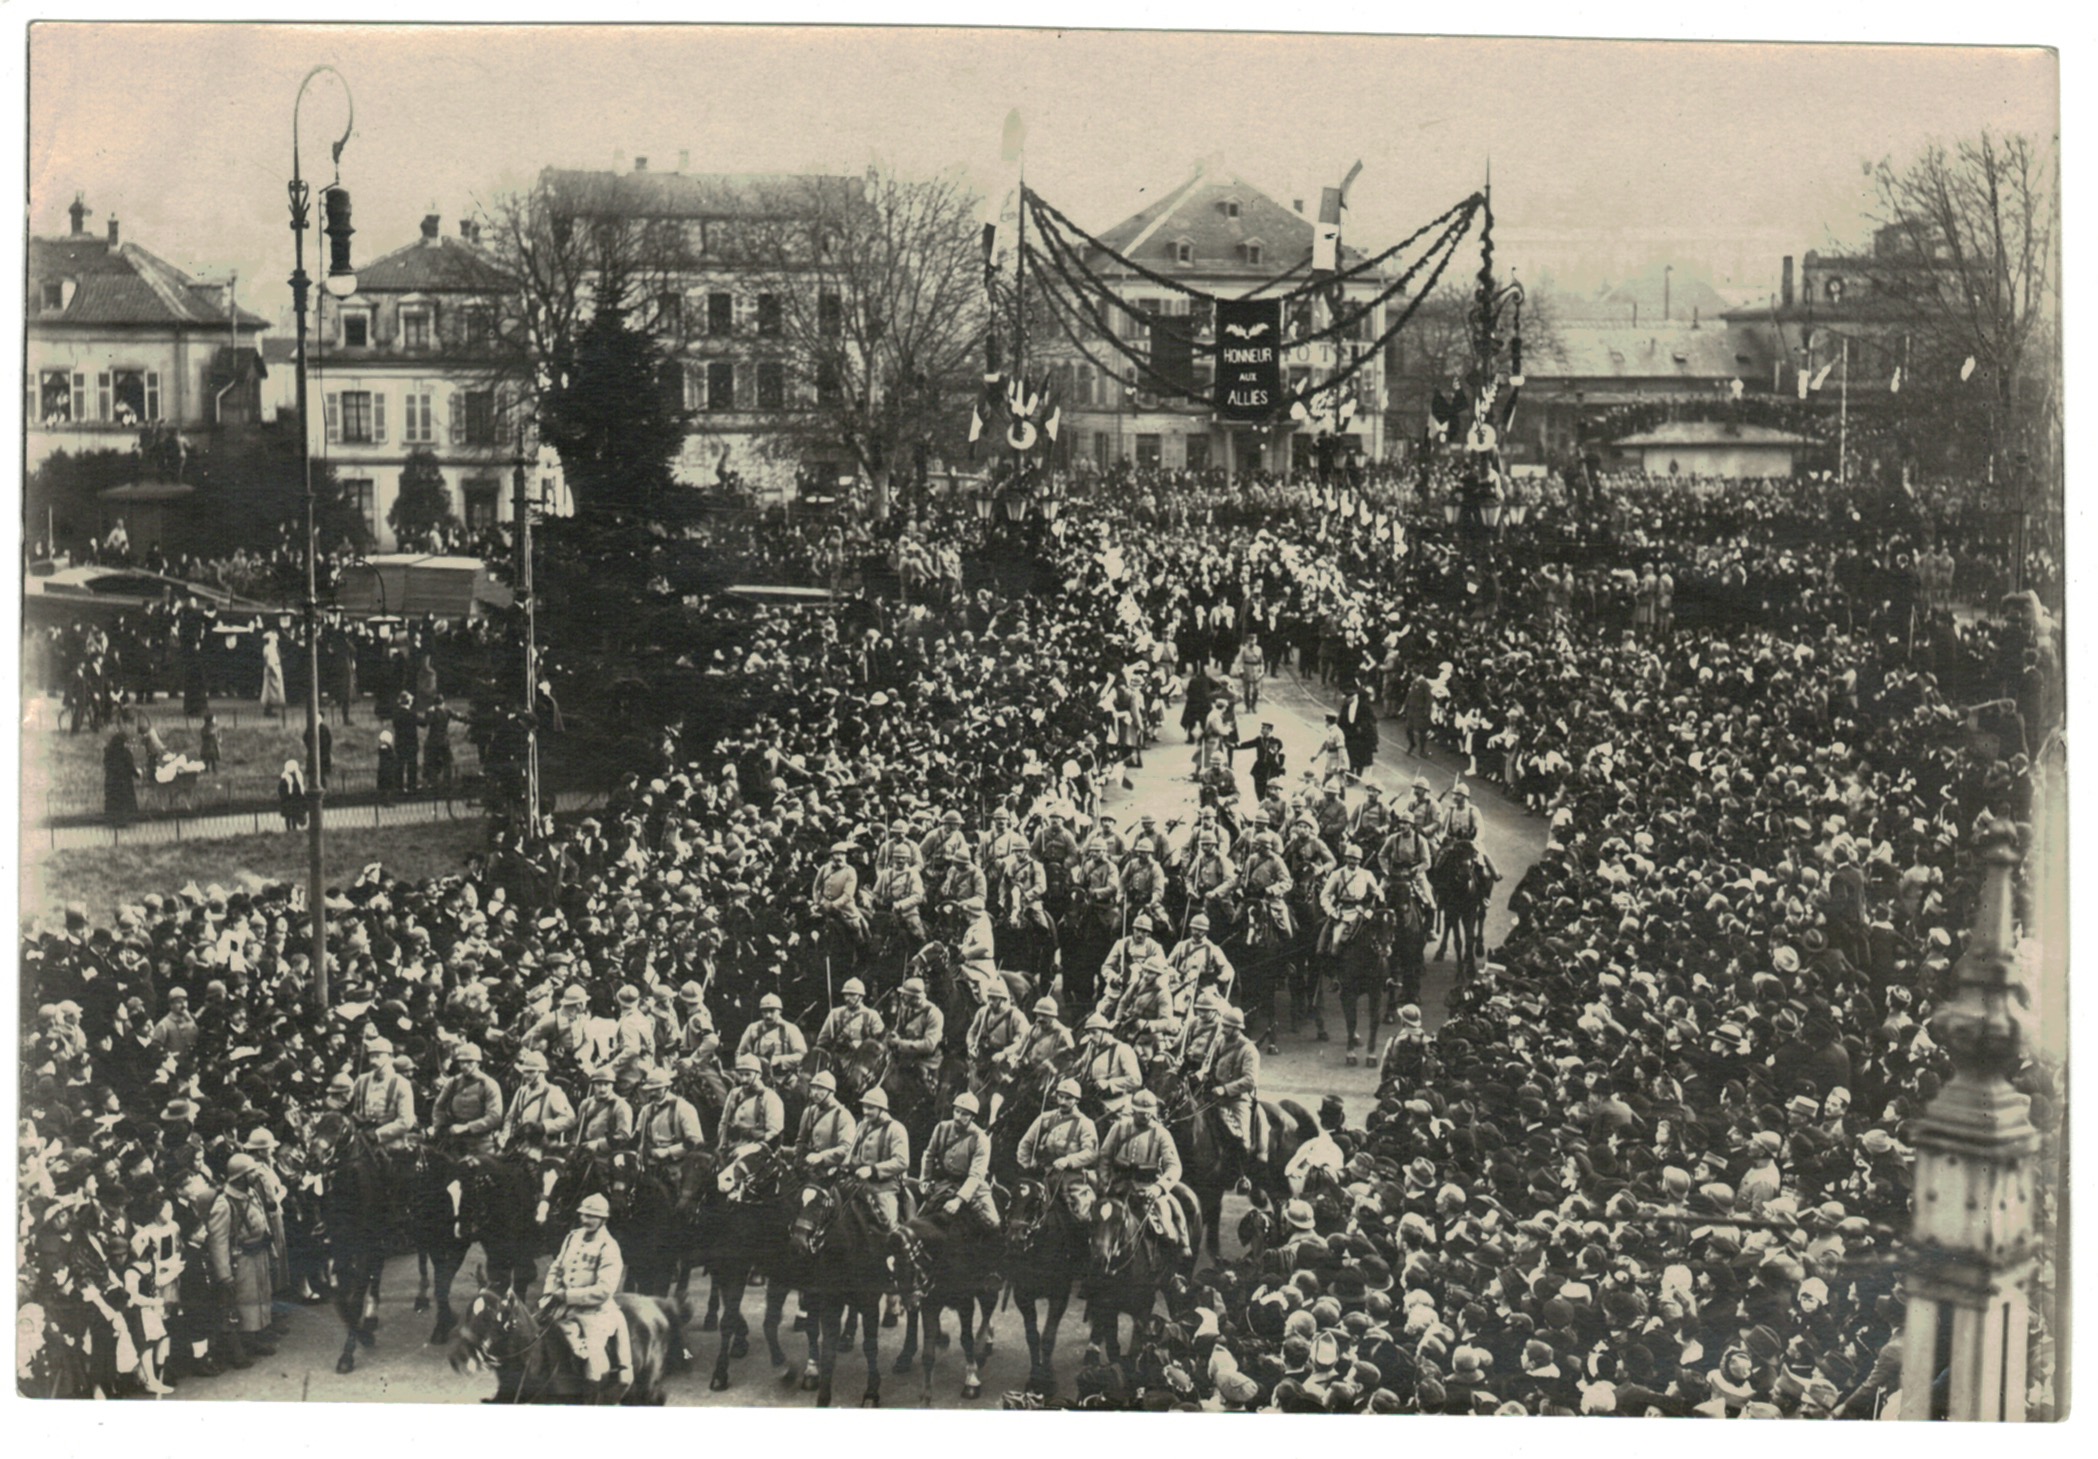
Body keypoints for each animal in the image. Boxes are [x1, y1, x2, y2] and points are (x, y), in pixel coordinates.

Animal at [446, 1276, 683, 1402]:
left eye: (488, 1316)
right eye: (467, 1311)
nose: (455, 1357)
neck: (536, 1361)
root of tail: (657, 1304)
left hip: (645, 1392)